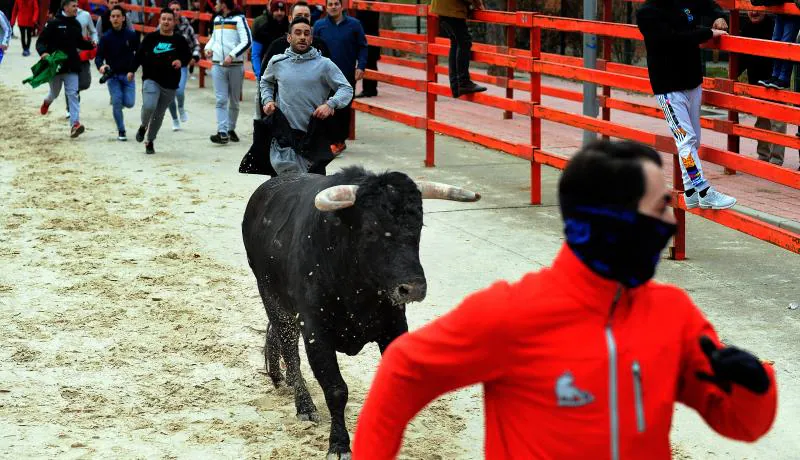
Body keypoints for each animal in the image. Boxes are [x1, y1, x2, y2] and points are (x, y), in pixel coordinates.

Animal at [241, 167, 482, 458]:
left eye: (418, 226)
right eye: (370, 230)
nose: (413, 288)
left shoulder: (394, 327)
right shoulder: (316, 334)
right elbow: (335, 389)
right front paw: (339, 444)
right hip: (272, 298)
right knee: (290, 349)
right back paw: (304, 405)